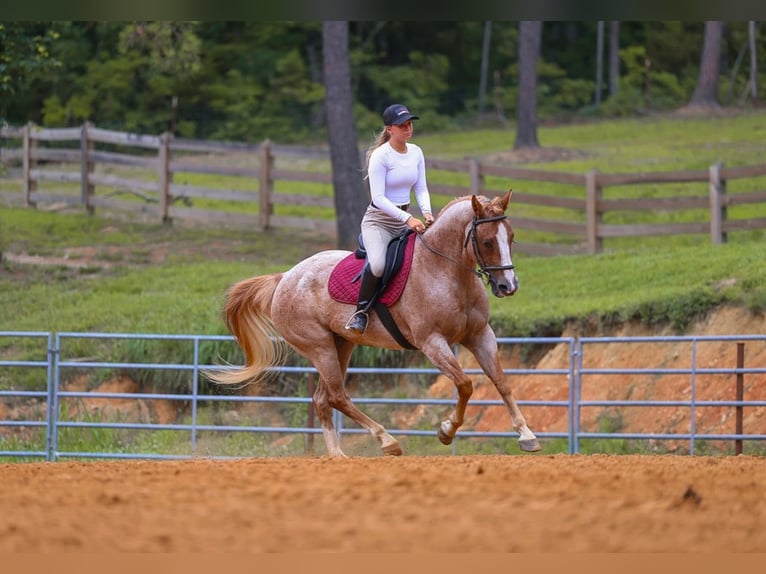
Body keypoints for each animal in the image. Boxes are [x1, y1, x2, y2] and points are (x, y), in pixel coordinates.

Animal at [205, 190, 541, 457]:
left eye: (511, 237)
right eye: (487, 241)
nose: (509, 286)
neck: (446, 271)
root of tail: (285, 277)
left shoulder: (480, 335)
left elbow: (501, 382)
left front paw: (527, 435)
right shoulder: (432, 343)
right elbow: (465, 385)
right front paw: (446, 430)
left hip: (342, 345)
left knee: (323, 399)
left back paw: (338, 455)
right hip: (319, 348)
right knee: (337, 396)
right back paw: (386, 441)